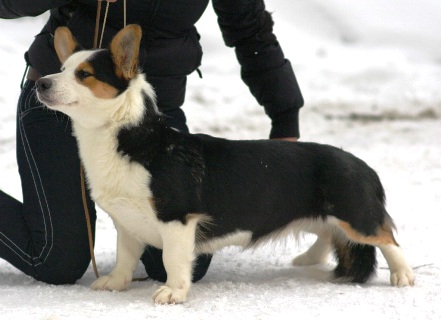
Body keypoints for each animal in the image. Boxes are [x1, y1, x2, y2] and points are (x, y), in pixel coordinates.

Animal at [35, 24, 412, 302]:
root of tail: (364, 167)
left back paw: (403, 275)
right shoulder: (127, 222)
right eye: (61, 68)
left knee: (387, 238)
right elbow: (125, 256)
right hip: (322, 213)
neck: (128, 136)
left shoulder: (177, 218)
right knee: (328, 232)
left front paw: (173, 293)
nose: (40, 82)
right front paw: (114, 283)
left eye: (84, 74)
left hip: (355, 214)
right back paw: (307, 260)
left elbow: (173, 260)